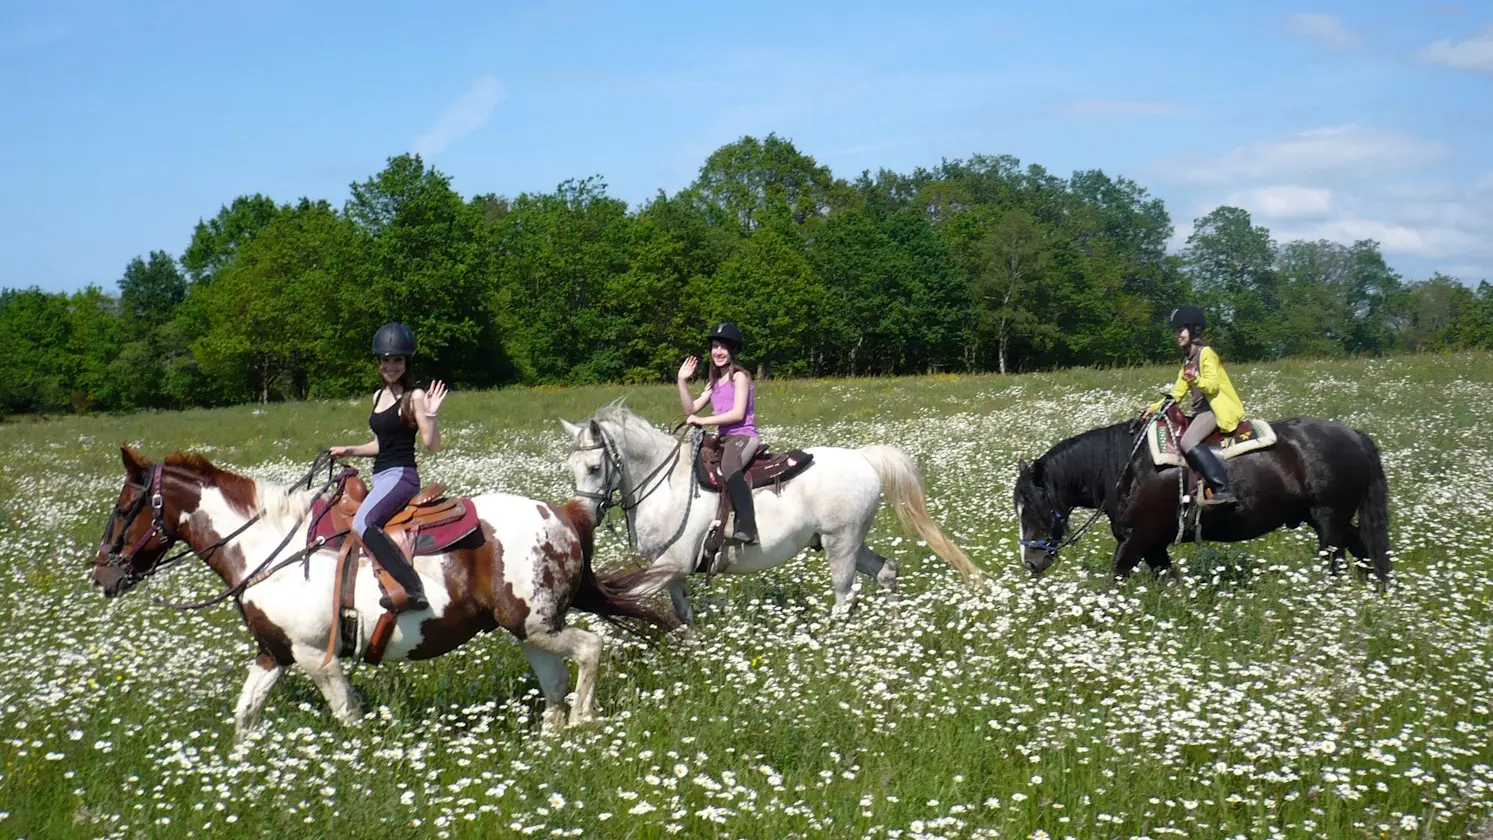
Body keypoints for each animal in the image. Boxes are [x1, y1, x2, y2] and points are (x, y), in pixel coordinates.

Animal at [93, 447, 671, 737]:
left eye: (124, 509)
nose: (102, 577)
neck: (266, 552)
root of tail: (565, 514)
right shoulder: (273, 653)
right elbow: (244, 718)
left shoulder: (317, 657)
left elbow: (348, 717)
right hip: (529, 630)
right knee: (554, 683)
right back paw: (554, 740)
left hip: (538, 625)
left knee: (591, 650)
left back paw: (582, 724)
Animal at [561, 402, 979, 626]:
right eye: (571, 467)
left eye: (595, 467)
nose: (585, 517)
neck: (667, 484)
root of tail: (863, 457)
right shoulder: (670, 570)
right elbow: (684, 616)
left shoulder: (671, 564)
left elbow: (631, 600)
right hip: (849, 542)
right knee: (887, 572)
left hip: (840, 544)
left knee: (844, 596)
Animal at [1009, 411, 1391, 584]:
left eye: (1034, 507)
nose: (1031, 561)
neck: (1124, 467)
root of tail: (1354, 435)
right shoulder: (1153, 545)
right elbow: (1170, 581)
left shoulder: (1138, 539)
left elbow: (1115, 577)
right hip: (1334, 519)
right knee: (1364, 548)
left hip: (1328, 521)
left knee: (1338, 560)